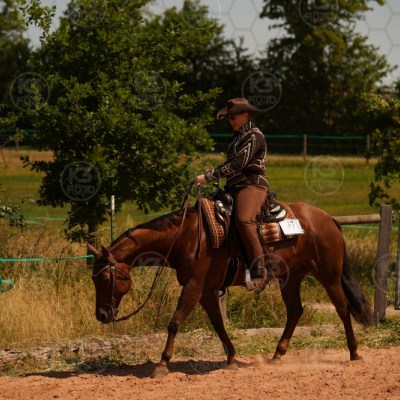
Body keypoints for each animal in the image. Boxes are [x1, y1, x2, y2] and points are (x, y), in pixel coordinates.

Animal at [88, 199, 373, 378]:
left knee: (342, 307)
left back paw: (354, 353)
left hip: (328, 275)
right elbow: (217, 324)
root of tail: (328, 219)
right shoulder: (205, 290)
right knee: (295, 311)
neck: (185, 237)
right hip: (291, 278)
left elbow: (175, 322)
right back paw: (277, 355)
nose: (101, 315)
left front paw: (162, 364)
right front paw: (232, 359)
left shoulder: (194, 286)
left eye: (105, 278)